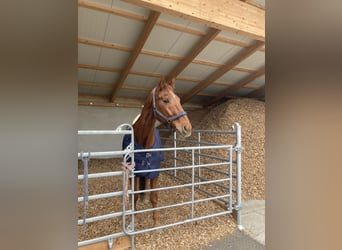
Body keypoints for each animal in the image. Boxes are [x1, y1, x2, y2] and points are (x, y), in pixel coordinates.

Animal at [122, 78, 192, 227]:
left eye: (178, 99)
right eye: (165, 100)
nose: (187, 128)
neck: (144, 141)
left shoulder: (154, 170)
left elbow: (154, 196)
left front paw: (156, 222)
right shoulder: (136, 171)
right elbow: (134, 195)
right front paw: (134, 218)